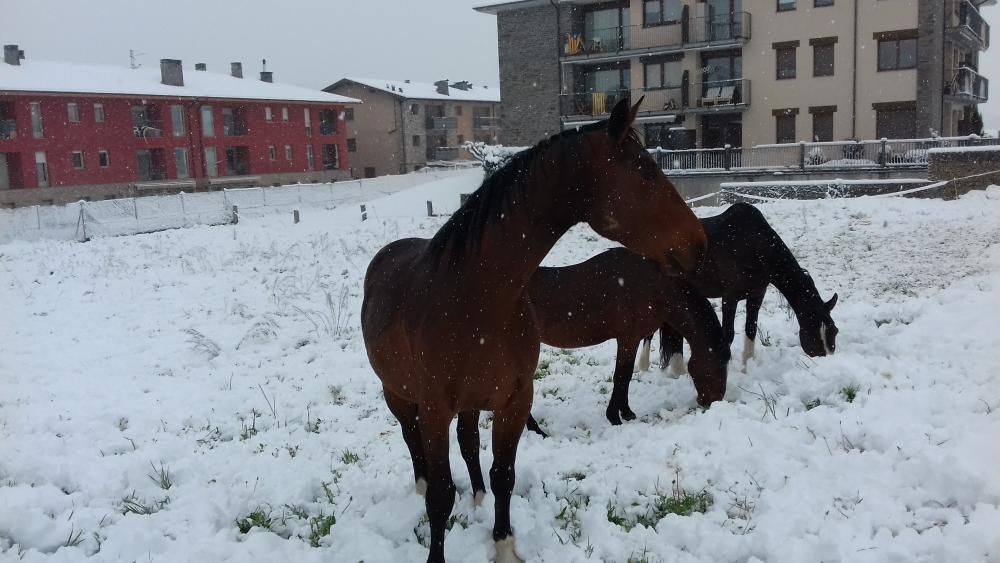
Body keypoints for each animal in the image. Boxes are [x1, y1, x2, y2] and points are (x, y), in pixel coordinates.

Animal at [360, 100, 704, 563]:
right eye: (647, 171)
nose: (699, 242)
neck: (476, 300)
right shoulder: (434, 411)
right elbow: (441, 495)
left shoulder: (514, 402)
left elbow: (503, 473)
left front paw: (504, 545)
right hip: (397, 395)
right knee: (412, 442)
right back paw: (421, 486)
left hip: (470, 404)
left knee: (468, 442)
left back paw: (478, 497)